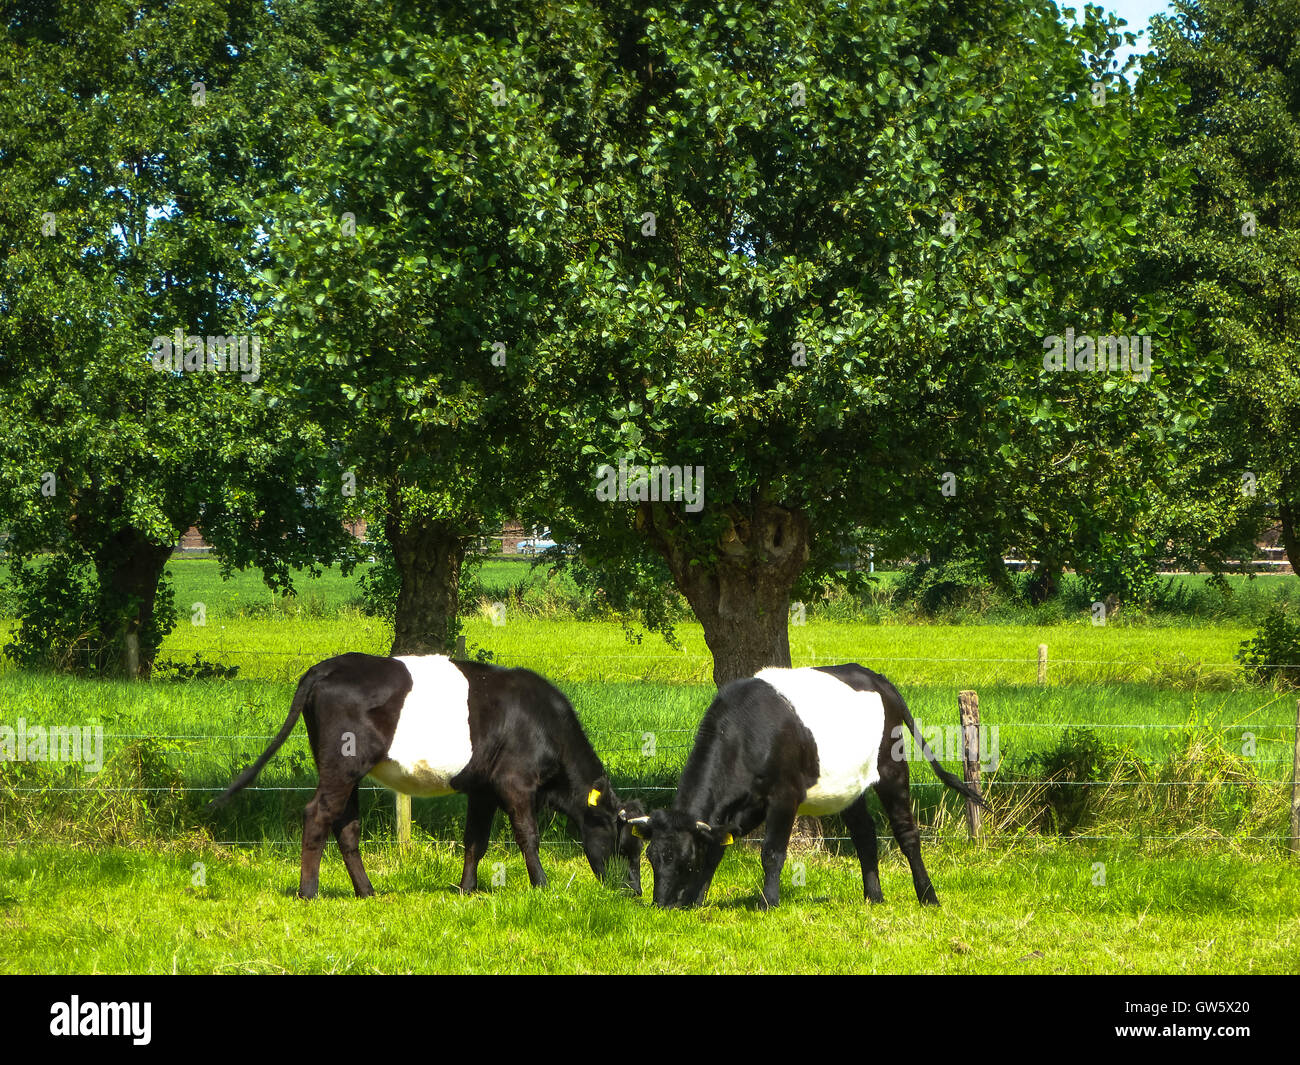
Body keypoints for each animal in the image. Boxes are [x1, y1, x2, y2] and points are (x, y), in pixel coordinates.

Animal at [206, 652, 644, 894]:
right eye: (625, 845)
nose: (635, 893)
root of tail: (329, 666)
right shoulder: (514, 782)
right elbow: (527, 835)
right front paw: (543, 886)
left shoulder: (483, 788)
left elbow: (475, 841)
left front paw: (466, 890)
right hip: (342, 764)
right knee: (317, 815)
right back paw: (308, 893)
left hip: (345, 769)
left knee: (346, 824)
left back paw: (368, 892)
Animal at [626, 665, 982, 910]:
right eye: (651, 858)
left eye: (685, 860)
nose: (663, 904)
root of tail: (875, 677)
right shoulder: (743, 806)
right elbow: (716, 849)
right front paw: (696, 900)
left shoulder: (785, 796)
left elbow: (772, 852)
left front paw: (768, 903)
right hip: (848, 785)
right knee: (865, 835)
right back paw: (873, 896)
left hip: (892, 769)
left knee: (906, 833)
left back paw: (928, 896)